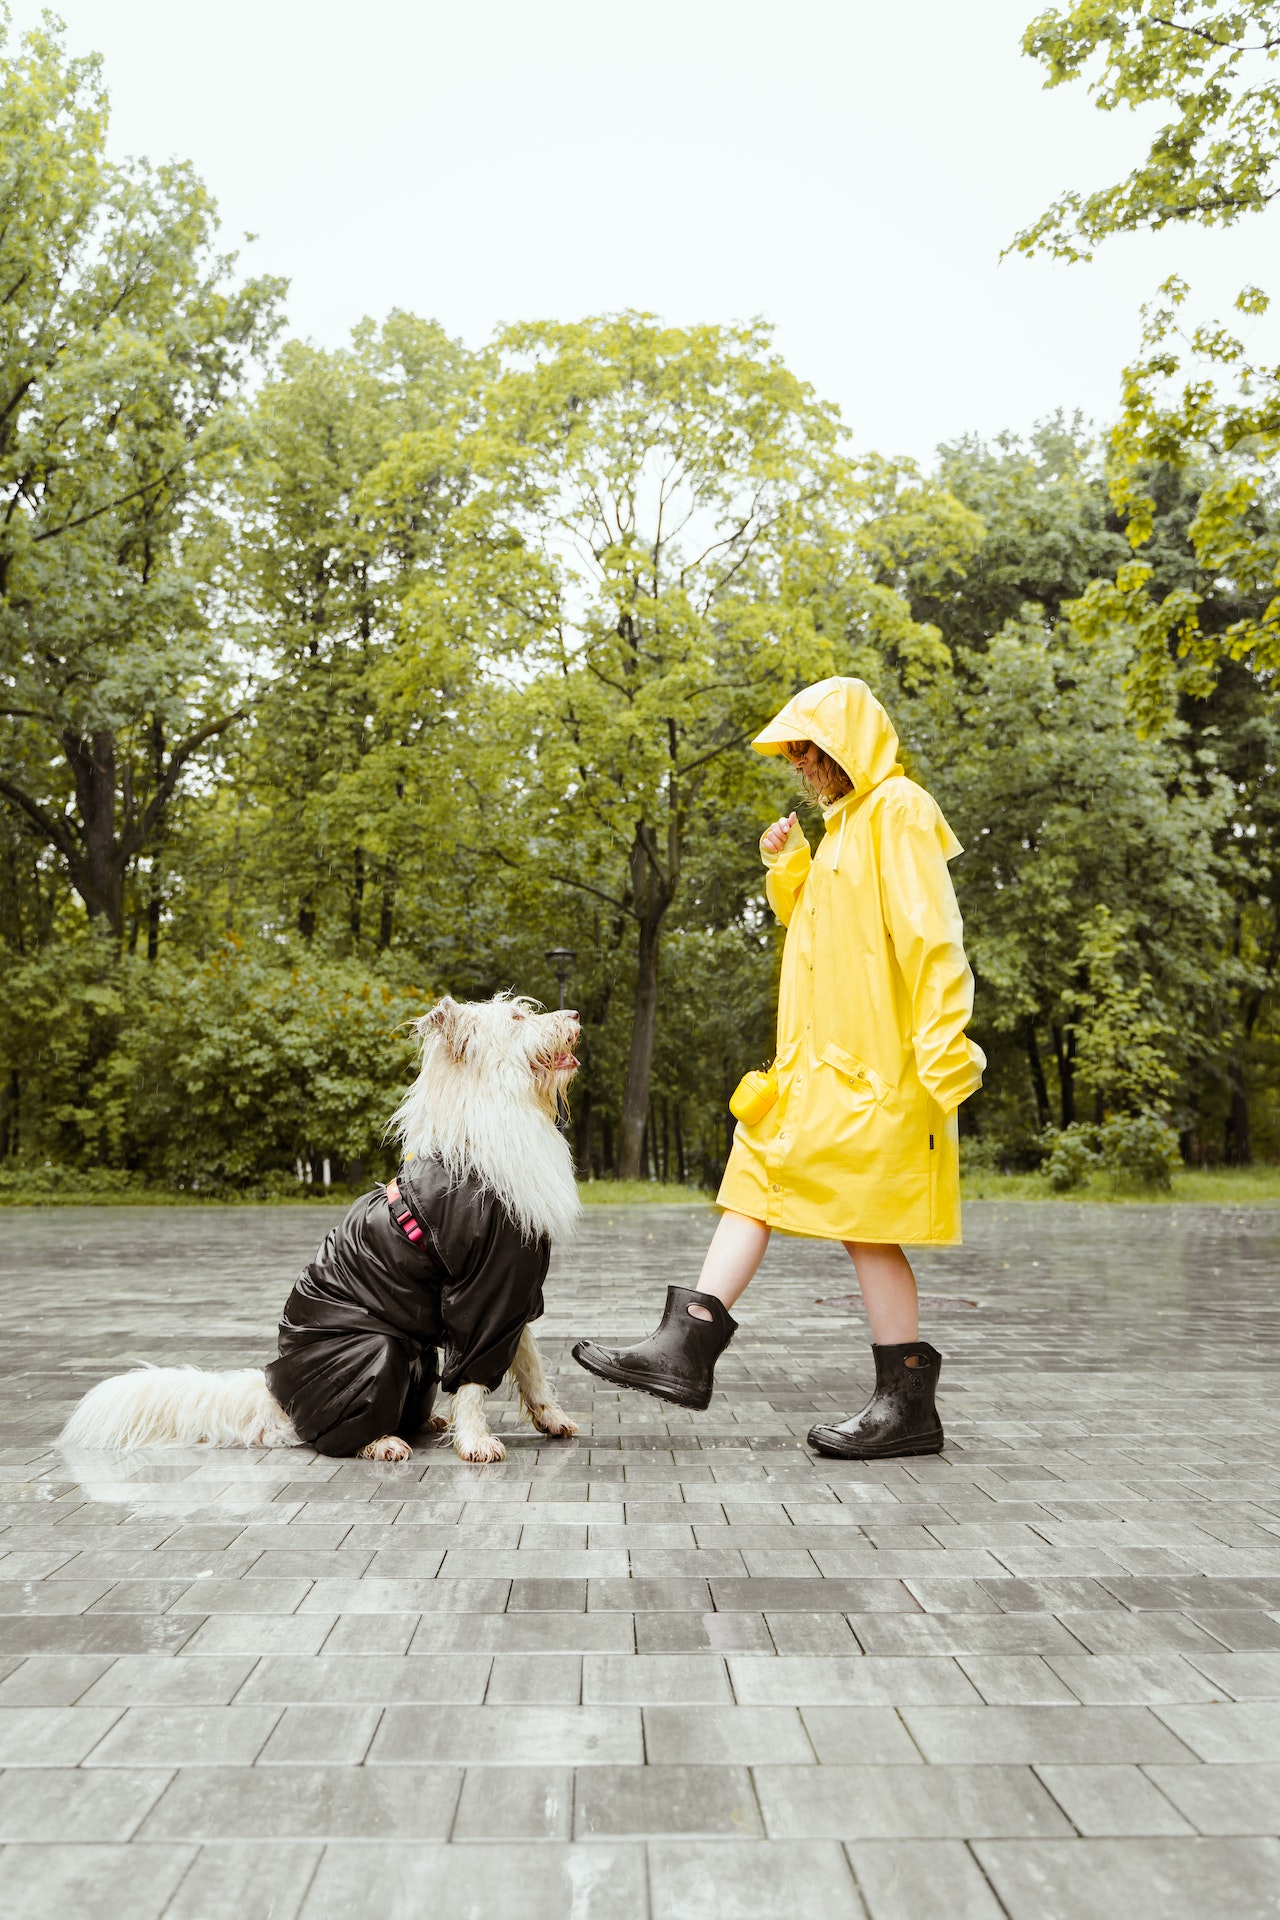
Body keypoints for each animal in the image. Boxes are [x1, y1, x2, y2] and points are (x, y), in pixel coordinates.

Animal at [58, 998, 579, 1459]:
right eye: (516, 1019)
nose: (575, 1015)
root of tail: (280, 1398)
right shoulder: (480, 1293)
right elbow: (473, 1377)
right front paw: (474, 1441)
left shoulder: (511, 1291)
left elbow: (528, 1362)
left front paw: (550, 1418)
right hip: (373, 1350)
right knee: (337, 1434)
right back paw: (382, 1442)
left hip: (417, 1356)